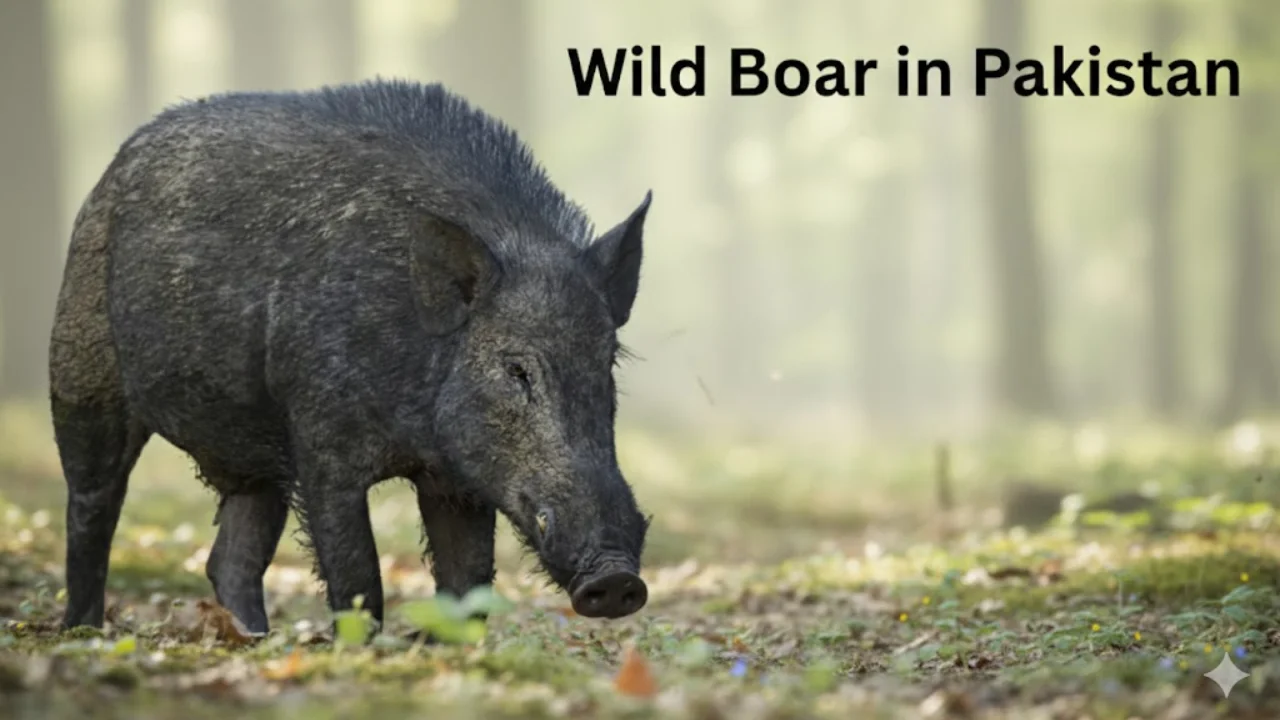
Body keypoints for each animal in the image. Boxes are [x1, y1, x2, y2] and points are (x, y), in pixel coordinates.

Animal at [48, 79, 653, 634]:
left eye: (606, 362)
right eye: (516, 369)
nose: (616, 578)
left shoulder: (454, 479)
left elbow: (468, 582)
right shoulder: (321, 444)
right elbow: (358, 575)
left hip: (257, 455)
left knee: (230, 557)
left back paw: (253, 639)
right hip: (81, 374)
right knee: (90, 509)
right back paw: (83, 632)